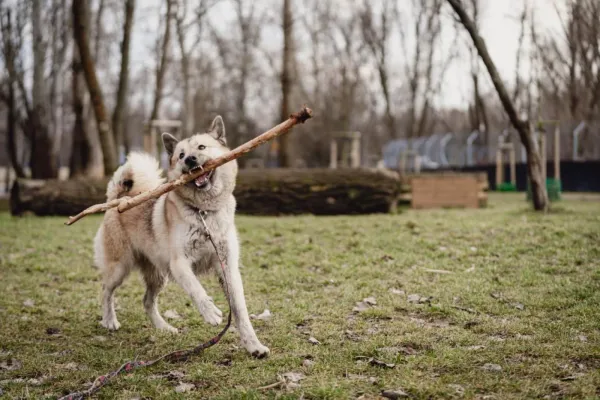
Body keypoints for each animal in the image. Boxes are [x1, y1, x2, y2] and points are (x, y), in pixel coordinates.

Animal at [92, 117, 270, 358]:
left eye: (201, 147)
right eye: (181, 155)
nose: (190, 160)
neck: (204, 212)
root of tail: (119, 199)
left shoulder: (228, 268)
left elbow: (240, 311)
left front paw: (254, 345)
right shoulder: (179, 264)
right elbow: (196, 288)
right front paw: (211, 312)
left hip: (158, 276)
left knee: (147, 301)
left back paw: (163, 327)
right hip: (120, 268)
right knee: (106, 291)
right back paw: (109, 320)